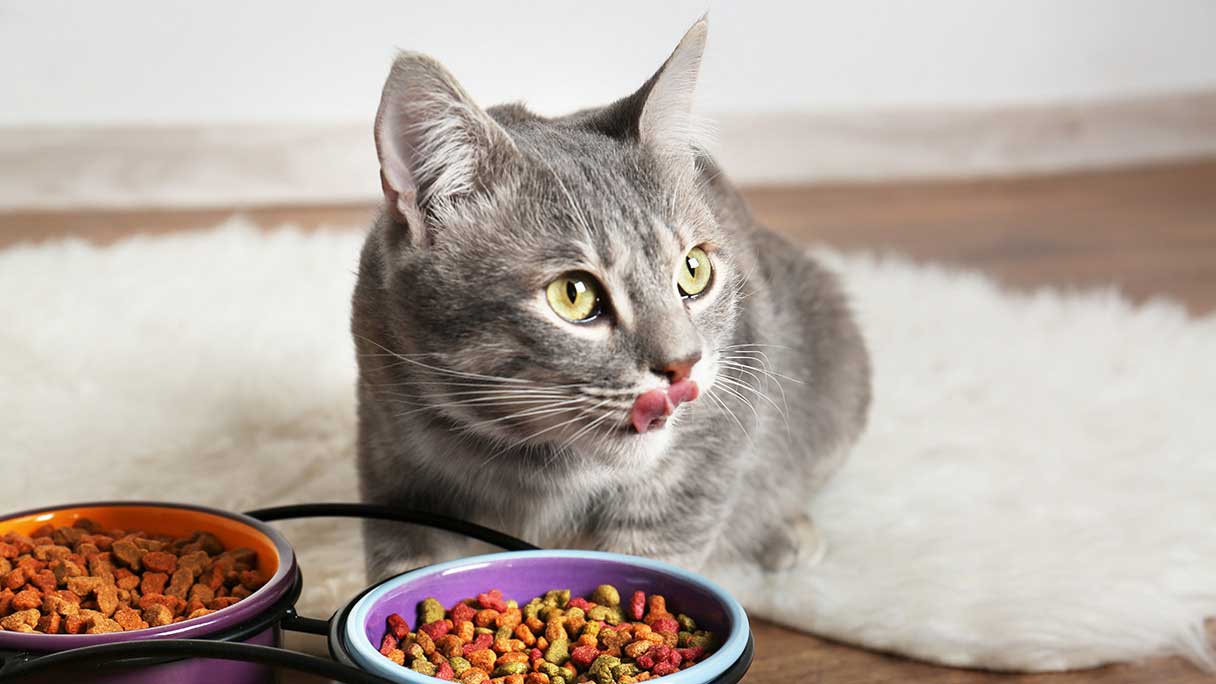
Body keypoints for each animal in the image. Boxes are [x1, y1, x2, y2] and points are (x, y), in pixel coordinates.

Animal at [347, 18, 870, 576]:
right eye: (573, 295)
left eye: (694, 270)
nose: (685, 363)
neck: (532, 469)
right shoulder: (395, 468)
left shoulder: (700, 460)